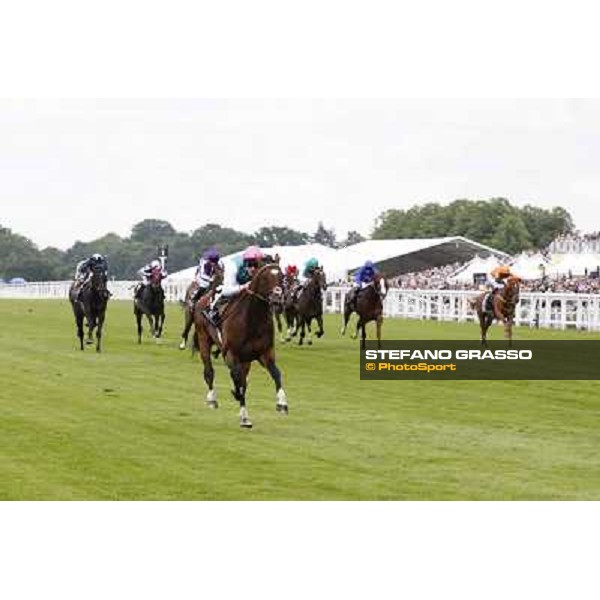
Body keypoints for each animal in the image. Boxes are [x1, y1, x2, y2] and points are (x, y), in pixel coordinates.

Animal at [192, 262, 286, 426]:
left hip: (245, 360)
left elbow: (276, 374)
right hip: (204, 339)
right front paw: (244, 417)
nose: (277, 300)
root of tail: (203, 298)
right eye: (265, 278)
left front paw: (282, 403)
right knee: (209, 372)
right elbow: (239, 382)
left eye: (282, 277)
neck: (253, 320)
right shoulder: (231, 354)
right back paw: (212, 399)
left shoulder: (265, 353)